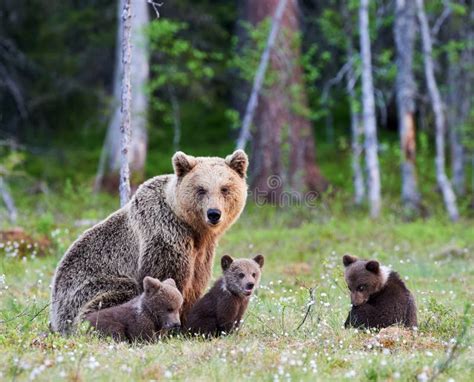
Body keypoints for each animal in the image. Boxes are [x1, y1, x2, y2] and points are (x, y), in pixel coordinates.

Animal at [50, 151, 250, 332]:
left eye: (225, 188)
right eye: (201, 189)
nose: (214, 214)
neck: (193, 228)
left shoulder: (202, 252)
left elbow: (195, 284)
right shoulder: (164, 233)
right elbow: (166, 279)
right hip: (86, 290)